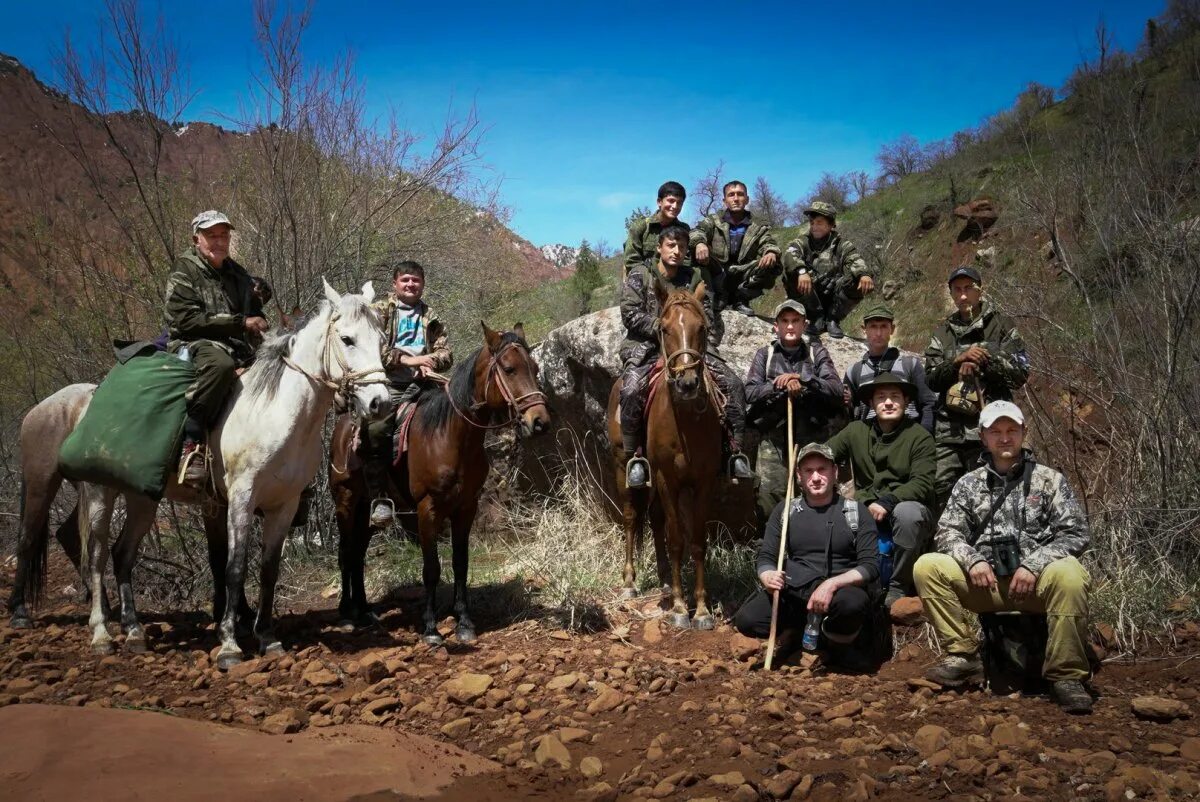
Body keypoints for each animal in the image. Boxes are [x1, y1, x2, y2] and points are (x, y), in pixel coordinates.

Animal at [35, 278, 388, 667]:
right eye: (347, 339)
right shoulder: (241, 499)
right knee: (97, 556)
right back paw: (101, 635)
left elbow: (268, 570)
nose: (380, 403)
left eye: (381, 339)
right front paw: (230, 643)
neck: (276, 411)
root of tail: (88, 403)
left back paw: (134, 632)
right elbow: (235, 568)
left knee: (122, 554)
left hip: (142, 499)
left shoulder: (285, 505)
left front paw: (267, 637)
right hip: (100, 493)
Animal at [331, 321, 549, 643]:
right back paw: (347, 614)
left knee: (357, 554)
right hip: (345, 501)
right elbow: (431, 568)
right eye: (509, 369)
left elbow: (460, 563)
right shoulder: (427, 509)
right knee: (346, 552)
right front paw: (431, 627)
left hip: (365, 510)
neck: (449, 436)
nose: (540, 421)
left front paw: (464, 622)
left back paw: (365, 611)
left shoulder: (466, 508)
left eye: (534, 368)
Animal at [604, 278, 715, 629]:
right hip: (623, 466)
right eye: (664, 329)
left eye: (702, 327)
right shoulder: (667, 479)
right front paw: (680, 609)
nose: (688, 383)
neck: (685, 423)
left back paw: (666, 580)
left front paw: (702, 610)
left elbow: (696, 541)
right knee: (631, 518)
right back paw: (630, 582)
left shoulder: (703, 482)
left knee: (654, 519)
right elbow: (676, 539)